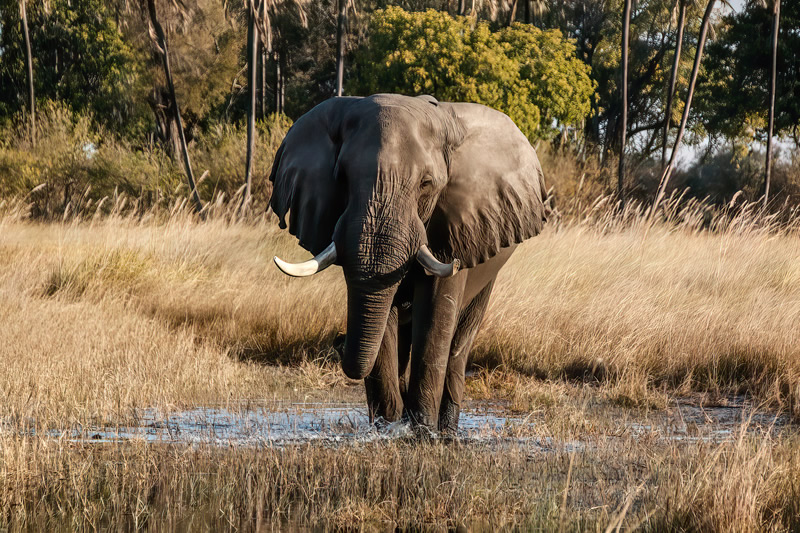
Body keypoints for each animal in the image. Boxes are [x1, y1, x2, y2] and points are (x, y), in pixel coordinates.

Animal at [269, 94, 546, 434]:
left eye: (426, 184)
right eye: (343, 179)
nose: (338, 339)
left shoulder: (455, 224)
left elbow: (436, 309)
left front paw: (422, 432)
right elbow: (381, 316)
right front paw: (387, 430)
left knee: (459, 341)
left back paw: (446, 430)